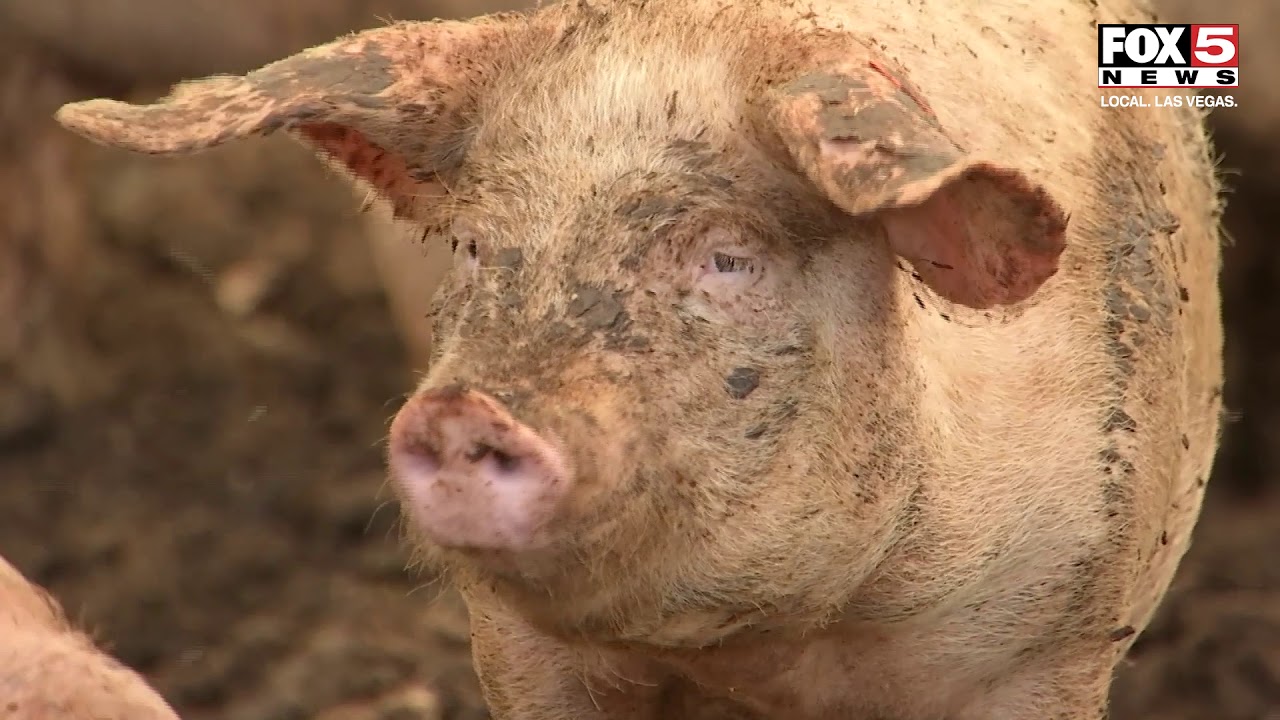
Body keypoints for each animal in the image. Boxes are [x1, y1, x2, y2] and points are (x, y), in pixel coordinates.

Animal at [53, 0, 1225, 717]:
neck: (764, 653)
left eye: (726, 256)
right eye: (474, 245)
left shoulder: (1050, 644)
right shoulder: (521, 652)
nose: (468, 413)